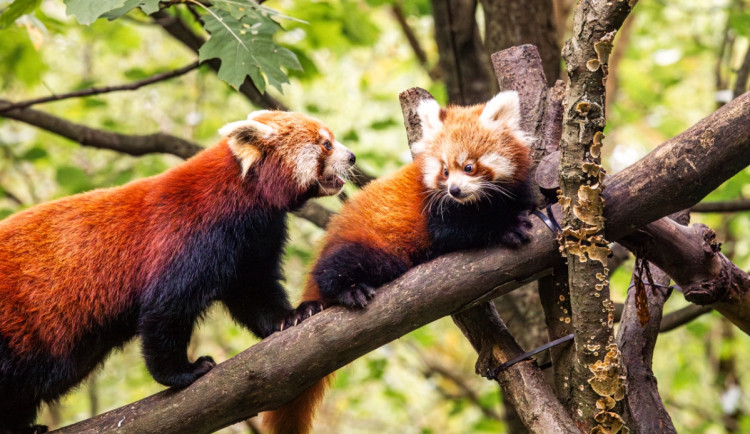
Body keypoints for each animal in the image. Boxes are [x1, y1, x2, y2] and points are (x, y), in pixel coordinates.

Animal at [0, 110, 356, 432]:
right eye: (326, 144)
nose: (352, 157)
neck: (242, 196)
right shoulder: (188, 236)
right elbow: (166, 309)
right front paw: (183, 371)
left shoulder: (253, 241)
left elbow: (254, 290)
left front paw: (292, 315)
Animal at [264, 91, 536, 434]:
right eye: (444, 171)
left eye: (469, 166)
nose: (455, 190)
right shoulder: (436, 212)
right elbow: (461, 230)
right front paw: (508, 227)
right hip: (372, 248)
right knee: (337, 269)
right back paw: (348, 289)